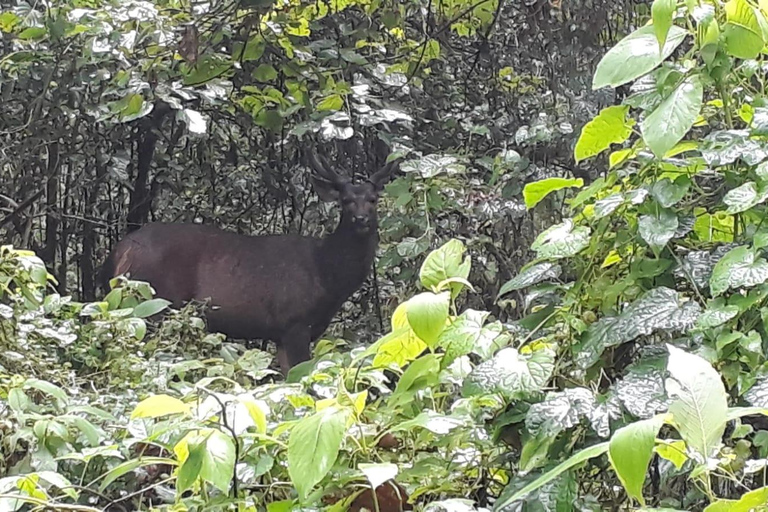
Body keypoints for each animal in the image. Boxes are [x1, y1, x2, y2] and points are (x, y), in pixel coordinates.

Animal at [101, 153, 400, 376]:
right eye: (346, 201)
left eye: (373, 199)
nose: (361, 219)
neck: (327, 275)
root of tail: (123, 249)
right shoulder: (294, 321)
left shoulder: (281, 333)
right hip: (152, 303)